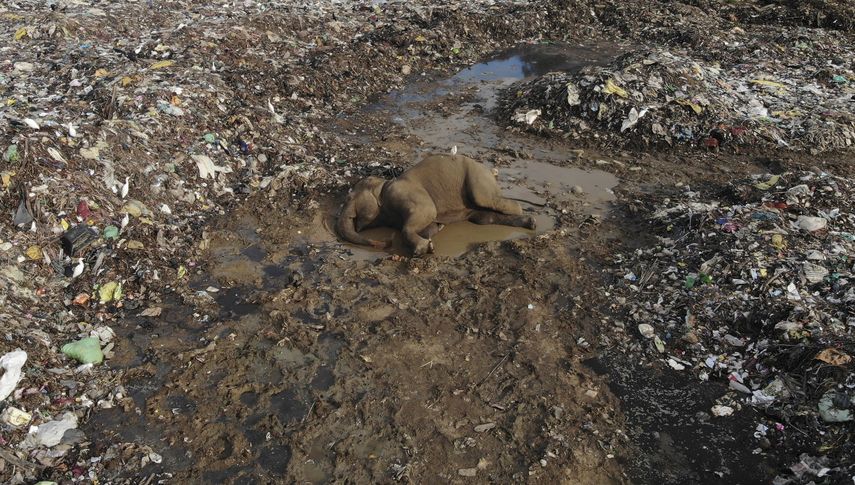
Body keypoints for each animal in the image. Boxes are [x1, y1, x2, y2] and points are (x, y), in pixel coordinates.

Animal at [336, 154, 536, 256]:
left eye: (348, 197)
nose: (386, 242)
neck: (383, 185)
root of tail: (490, 171)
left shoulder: (404, 193)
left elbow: (427, 212)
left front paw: (424, 249)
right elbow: (427, 225)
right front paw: (436, 231)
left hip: (478, 178)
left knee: (487, 199)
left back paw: (526, 215)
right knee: (485, 218)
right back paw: (530, 222)